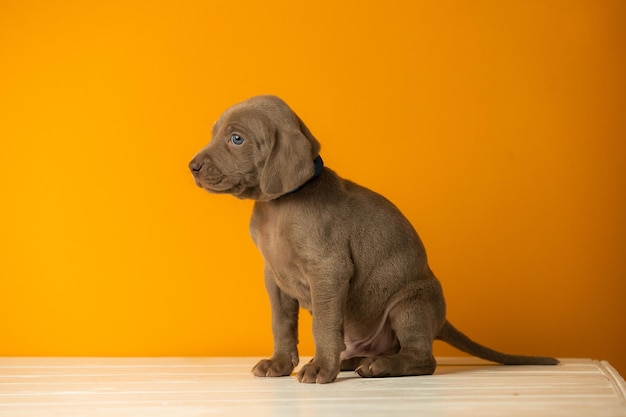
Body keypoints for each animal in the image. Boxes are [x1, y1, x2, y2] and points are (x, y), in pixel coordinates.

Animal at [188, 95, 560, 384]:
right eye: (215, 133)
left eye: (237, 139)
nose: (191, 166)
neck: (277, 206)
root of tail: (440, 320)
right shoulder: (274, 278)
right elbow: (281, 323)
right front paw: (279, 364)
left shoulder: (329, 270)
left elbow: (323, 324)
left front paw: (321, 369)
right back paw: (356, 361)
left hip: (411, 303)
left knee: (422, 358)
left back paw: (379, 366)